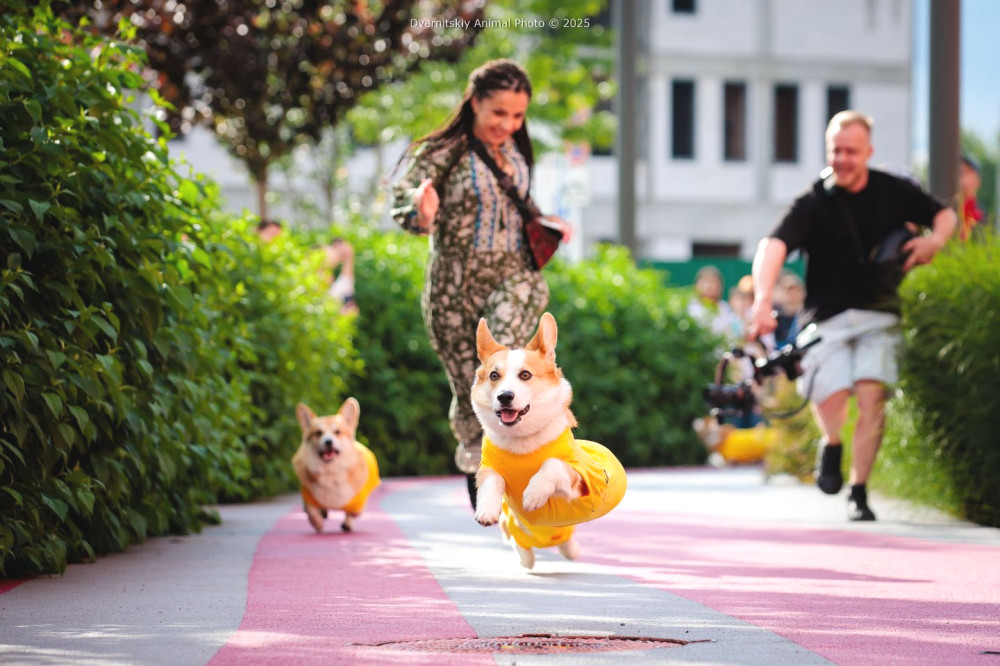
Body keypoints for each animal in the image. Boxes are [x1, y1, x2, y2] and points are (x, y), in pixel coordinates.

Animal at [292, 398, 380, 533]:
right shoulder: (308, 498)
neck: (330, 472)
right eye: (318, 433)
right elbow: (312, 513)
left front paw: (348, 522)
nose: (328, 442)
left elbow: (354, 512)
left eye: (337, 432)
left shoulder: (358, 502)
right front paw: (318, 523)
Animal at [471, 312, 627, 569]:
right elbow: (492, 480)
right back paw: (526, 557)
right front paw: (486, 511)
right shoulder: (488, 466)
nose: (504, 397)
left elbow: (552, 464)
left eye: (525, 375)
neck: (523, 441)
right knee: (517, 542)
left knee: (566, 545)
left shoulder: (578, 479)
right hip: (512, 528)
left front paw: (533, 495)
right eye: (494, 375)